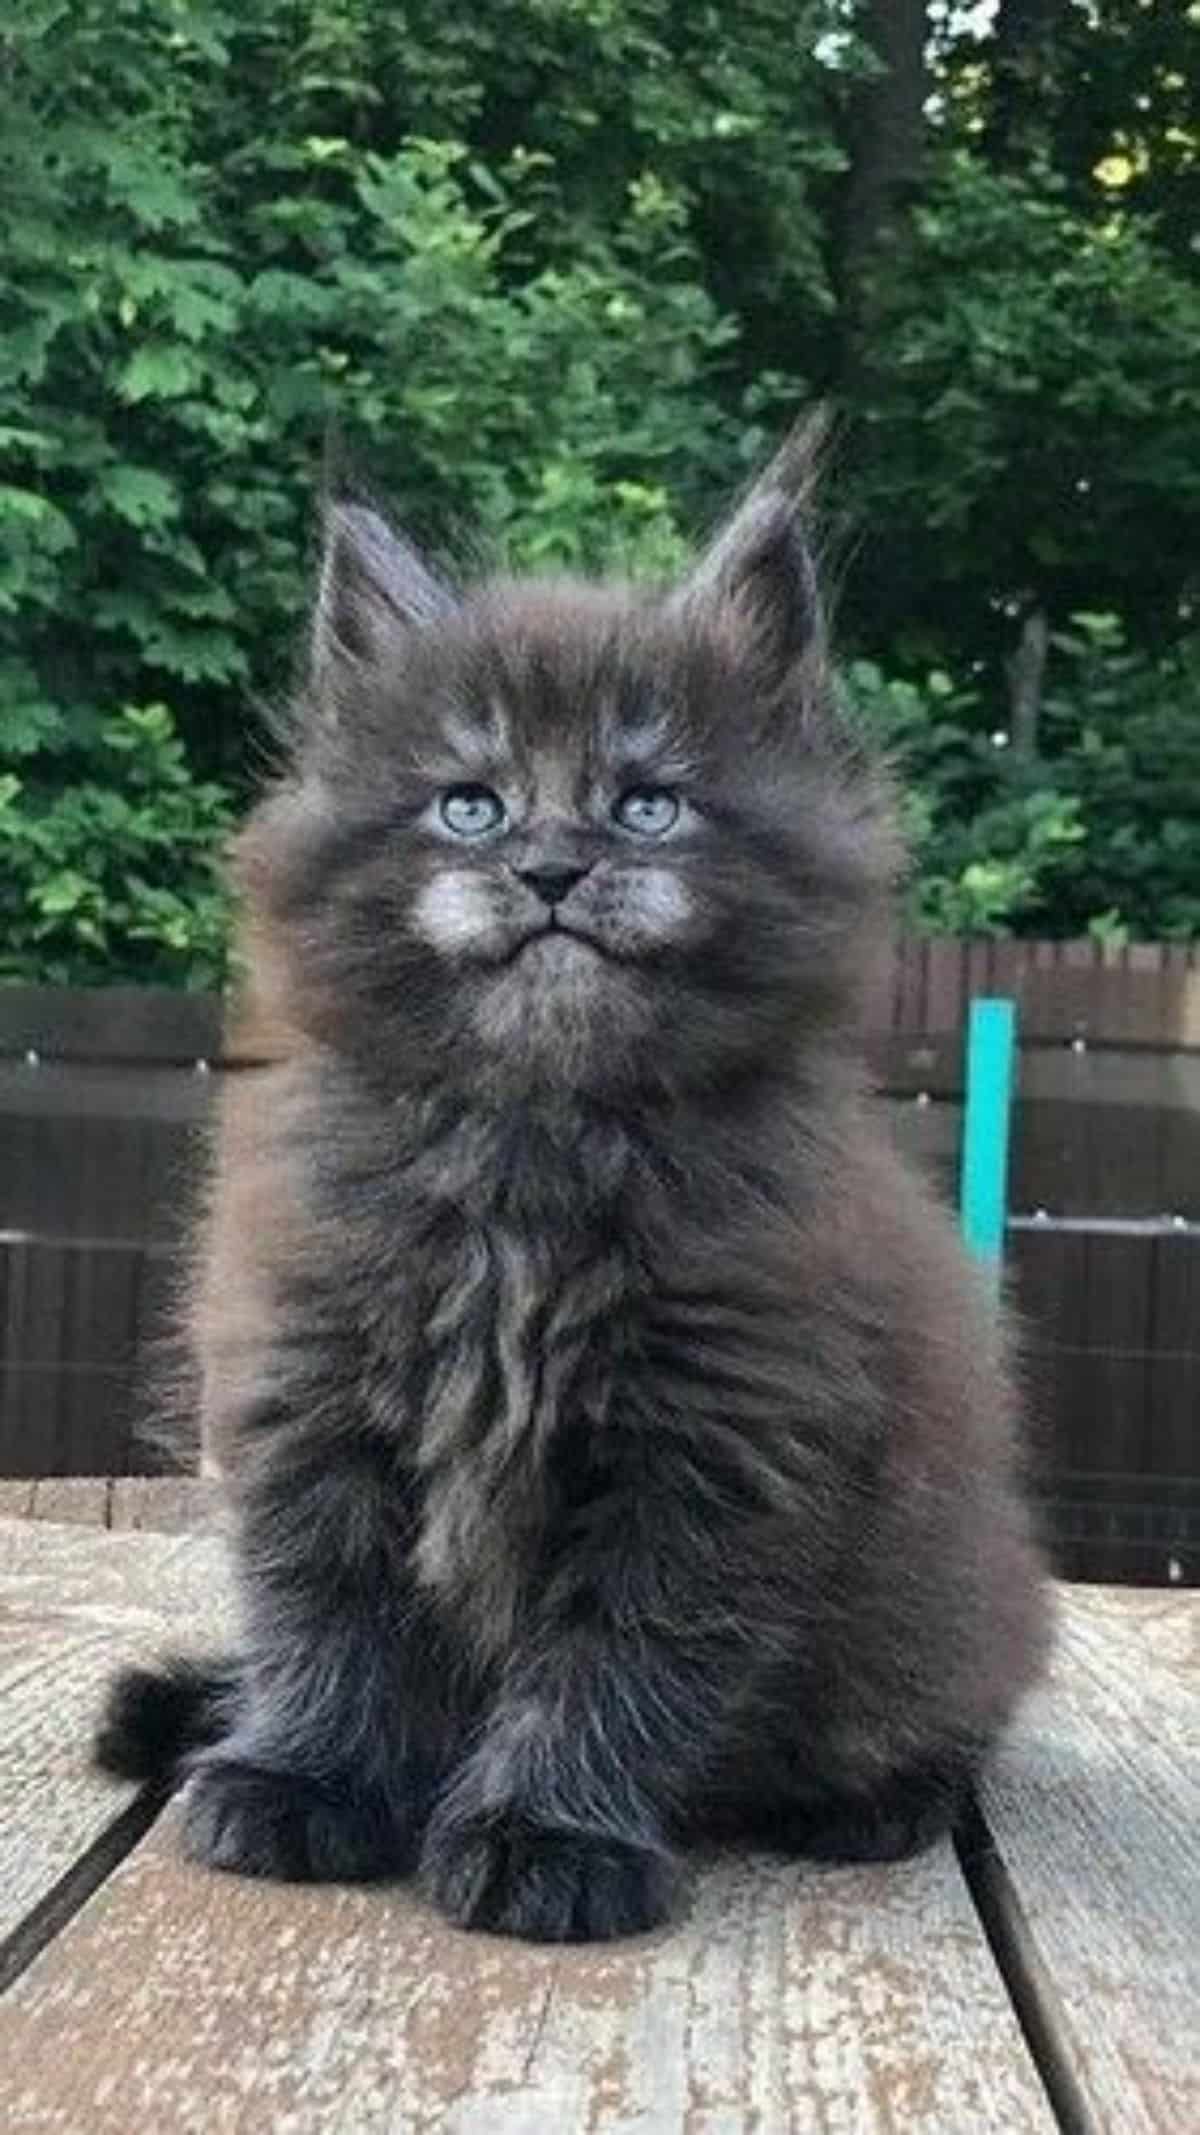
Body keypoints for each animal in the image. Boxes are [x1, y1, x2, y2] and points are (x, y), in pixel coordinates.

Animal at [98, 437, 1041, 1955]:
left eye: (645, 801)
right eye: (468, 803)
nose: (549, 866)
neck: (529, 1154)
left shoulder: (715, 1443)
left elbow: (619, 1659)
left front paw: (549, 1832)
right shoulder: (315, 1399)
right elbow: (324, 1615)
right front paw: (307, 1777)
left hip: (945, 1611)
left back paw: (878, 1801)